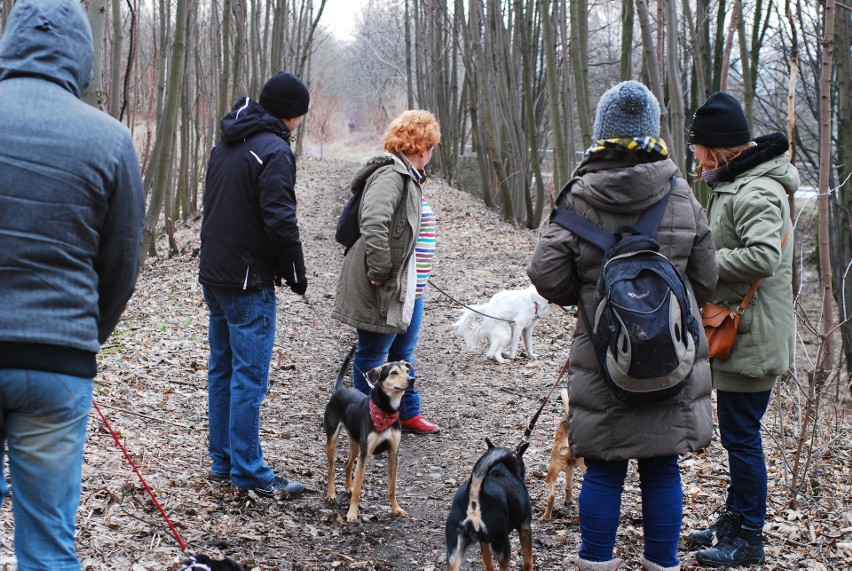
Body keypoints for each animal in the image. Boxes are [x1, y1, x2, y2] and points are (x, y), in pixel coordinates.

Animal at [322, 346, 412, 524]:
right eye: (393, 372)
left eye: (407, 371)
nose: (412, 379)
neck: (386, 411)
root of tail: (341, 389)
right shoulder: (365, 454)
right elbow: (358, 487)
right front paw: (352, 513)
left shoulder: (393, 453)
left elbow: (392, 487)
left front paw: (396, 509)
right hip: (333, 440)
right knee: (331, 468)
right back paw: (331, 493)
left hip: (356, 444)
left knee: (348, 464)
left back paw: (348, 486)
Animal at [446, 440, 532, 568]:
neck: (501, 470)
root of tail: (475, 493)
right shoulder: (525, 527)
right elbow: (528, 560)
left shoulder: (484, 541)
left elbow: (487, 561)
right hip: (502, 545)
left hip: (455, 552)